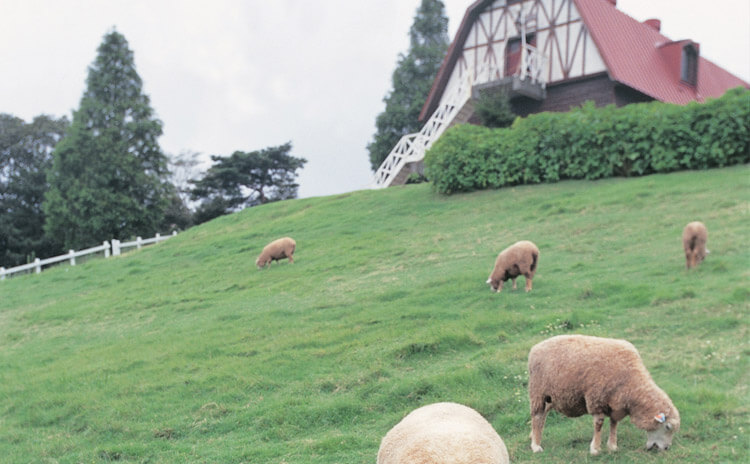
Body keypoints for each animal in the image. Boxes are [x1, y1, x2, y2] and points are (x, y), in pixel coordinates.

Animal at [528, 336, 680, 454]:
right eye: (667, 427)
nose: (666, 448)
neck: (631, 383)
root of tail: (535, 348)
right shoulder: (596, 399)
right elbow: (599, 424)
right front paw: (595, 449)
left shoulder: (616, 404)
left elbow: (614, 423)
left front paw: (612, 446)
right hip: (538, 392)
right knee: (537, 416)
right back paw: (536, 445)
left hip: (551, 397)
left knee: (543, 416)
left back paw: (533, 436)